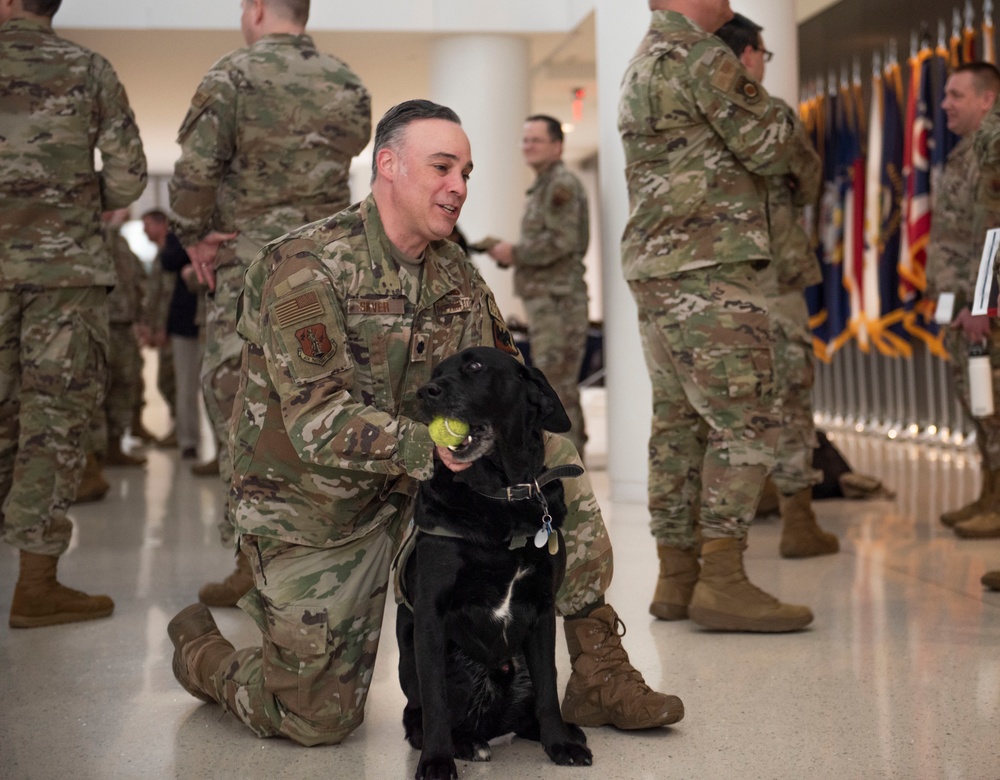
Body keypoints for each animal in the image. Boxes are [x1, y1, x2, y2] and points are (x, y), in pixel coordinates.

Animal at [392, 348, 592, 780]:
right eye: (436, 372)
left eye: (475, 366)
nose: (425, 391)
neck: (503, 496)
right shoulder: (430, 615)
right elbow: (435, 701)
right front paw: (437, 761)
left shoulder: (542, 608)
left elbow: (549, 686)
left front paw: (559, 744)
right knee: (420, 717)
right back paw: (467, 743)